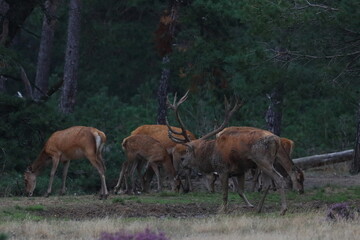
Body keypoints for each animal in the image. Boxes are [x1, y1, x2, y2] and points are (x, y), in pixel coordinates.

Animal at [166, 92, 296, 216]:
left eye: (186, 152)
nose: (182, 163)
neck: (211, 155)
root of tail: (276, 140)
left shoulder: (223, 169)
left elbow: (225, 194)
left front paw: (222, 210)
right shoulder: (240, 171)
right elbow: (240, 191)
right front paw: (249, 205)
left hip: (263, 160)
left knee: (279, 179)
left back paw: (283, 209)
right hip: (270, 161)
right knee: (268, 184)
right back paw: (259, 209)